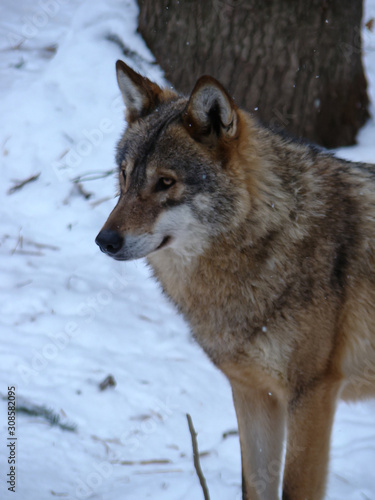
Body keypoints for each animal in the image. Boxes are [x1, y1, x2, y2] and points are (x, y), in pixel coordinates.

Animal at [94, 60, 375, 498]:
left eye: (165, 182)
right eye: (124, 177)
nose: (104, 240)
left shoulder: (313, 393)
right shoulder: (252, 392)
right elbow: (254, 487)